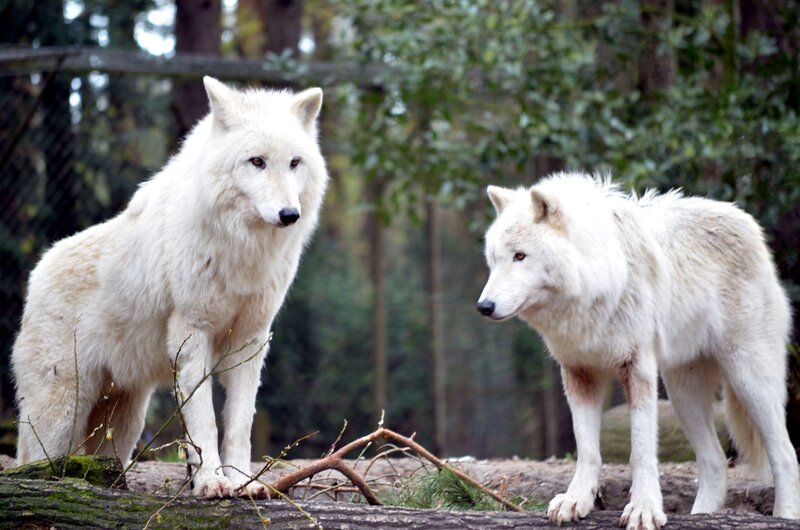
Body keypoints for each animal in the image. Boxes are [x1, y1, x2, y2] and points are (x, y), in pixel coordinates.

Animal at [12, 77, 328, 498]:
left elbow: (240, 424)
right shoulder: (192, 334)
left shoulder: (250, 340)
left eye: (295, 163)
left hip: (123, 419)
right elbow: (204, 423)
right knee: (32, 460)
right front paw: (211, 482)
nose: (289, 214)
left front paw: (244, 483)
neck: (240, 249)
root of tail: (36, 274)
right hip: (62, 413)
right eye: (257, 162)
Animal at [477, 173, 800, 529]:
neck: (596, 281)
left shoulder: (638, 369)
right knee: (714, 460)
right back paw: (701, 515)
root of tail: (747, 222)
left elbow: (641, 451)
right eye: (494, 260)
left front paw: (644, 508)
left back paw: (784, 515)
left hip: (749, 380)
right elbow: (587, 450)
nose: (484, 306)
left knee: (785, 455)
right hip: (683, 396)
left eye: (520, 256)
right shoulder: (578, 374)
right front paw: (577, 500)